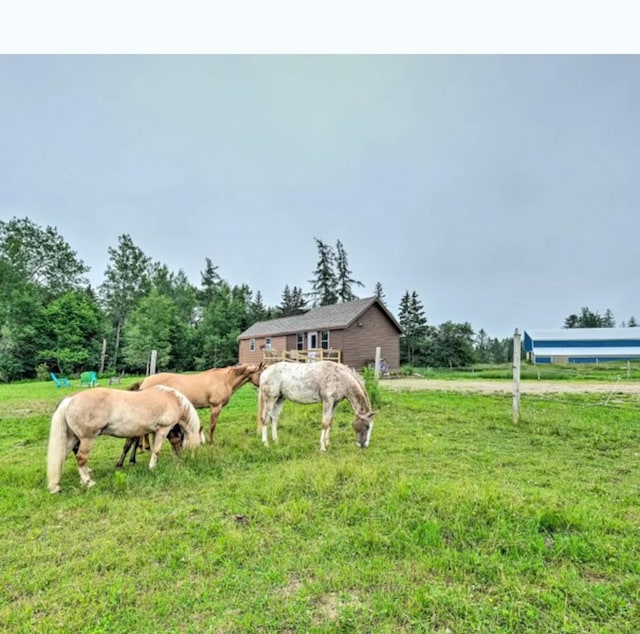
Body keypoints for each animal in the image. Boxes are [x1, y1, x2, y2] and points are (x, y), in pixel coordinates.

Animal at [46, 382, 204, 492]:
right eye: (200, 444)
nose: (185, 460)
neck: (173, 400)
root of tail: (70, 399)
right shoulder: (163, 429)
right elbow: (156, 450)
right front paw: (152, 468)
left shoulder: (155, 431)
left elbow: (153, 449)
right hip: (86, 439)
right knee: (81, 458)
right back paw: (89, 482)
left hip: (73, 438)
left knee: (62, 456)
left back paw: (57, 485)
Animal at [119, 360, 264, 464]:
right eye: (261, 373)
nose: (263, 387)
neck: (224, 380)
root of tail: (145, 380)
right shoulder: (215, 407)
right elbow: (212, 427)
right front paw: (211, 443)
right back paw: (145, 448)